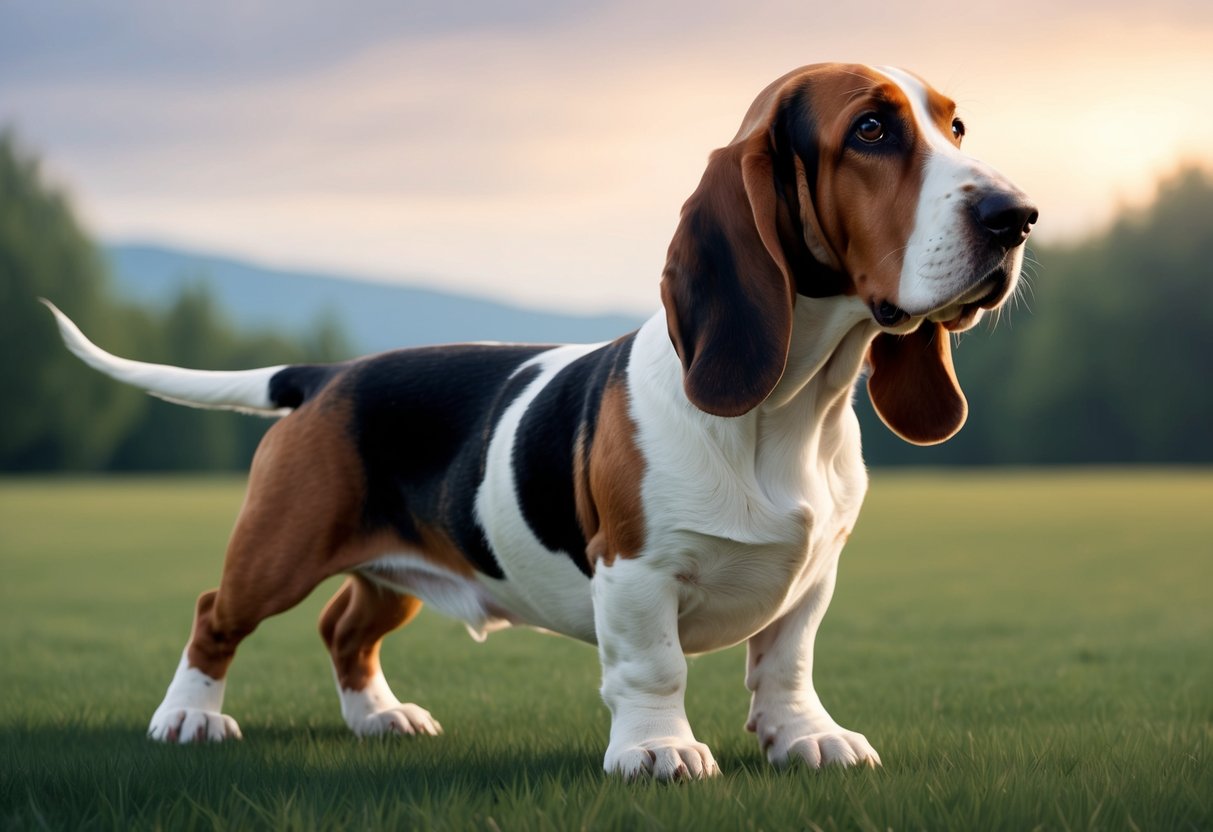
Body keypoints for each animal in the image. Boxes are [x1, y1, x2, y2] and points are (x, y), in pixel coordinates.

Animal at [44, 63, 1033, 781]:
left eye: (955, 128)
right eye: (869, 131)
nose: (1017, 216)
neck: (789, 412)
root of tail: (329, 374)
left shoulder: (813, 575)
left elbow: (786, 662)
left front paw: (804, 738)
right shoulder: (633, 572)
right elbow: (654, 667)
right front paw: (659, 751)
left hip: (394, 567)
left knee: (343, 629)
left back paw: (379, 717)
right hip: (279, 545)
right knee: (217, 614)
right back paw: (187, 717)